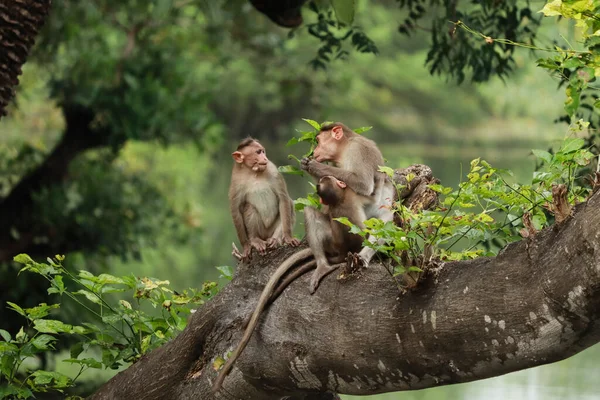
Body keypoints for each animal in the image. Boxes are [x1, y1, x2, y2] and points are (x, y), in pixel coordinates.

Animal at [298, 122, 394, 276]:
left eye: (318, 140)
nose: (316, 149)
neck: (344, 149)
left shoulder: (359, 149)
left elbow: (363, 184)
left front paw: (313, 165)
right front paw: (305, 163)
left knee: (383, 222)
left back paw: (363, 256)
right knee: (310, 212)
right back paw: (322, 266)